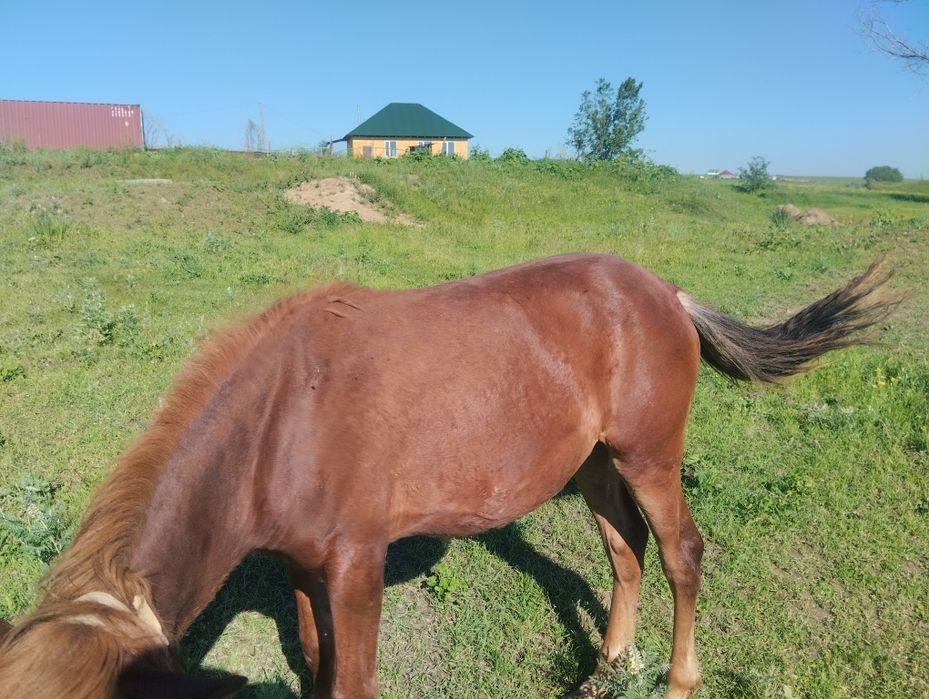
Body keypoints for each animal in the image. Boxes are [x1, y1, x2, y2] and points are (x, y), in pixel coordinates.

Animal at [0, 253, 895, 698]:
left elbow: (352, 680)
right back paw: (605, 667)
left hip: (648, 457)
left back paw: (676, 682)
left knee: (681, 553)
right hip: (595, 466)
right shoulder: (299, 566)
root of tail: (666, 293)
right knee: (625, 550)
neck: (280, 419)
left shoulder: (356, 566)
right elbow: (315, 660)